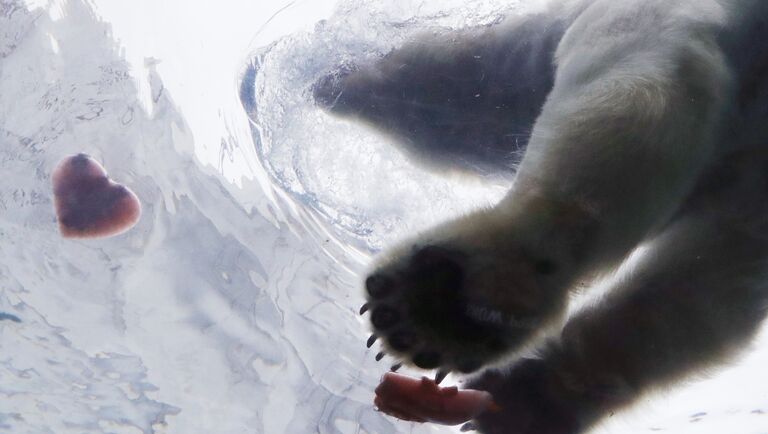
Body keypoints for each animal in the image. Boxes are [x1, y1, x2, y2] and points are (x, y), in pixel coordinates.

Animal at [312, 1, 768, 432]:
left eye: (400, 58)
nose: (331, 82)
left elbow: (643, 92)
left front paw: (446, 309)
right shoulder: (746, 181)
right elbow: (712, 278)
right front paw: (532, 398)